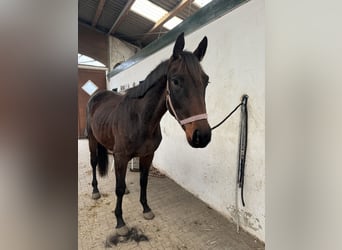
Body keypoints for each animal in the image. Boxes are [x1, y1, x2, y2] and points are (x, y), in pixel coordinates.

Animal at [86, 32, 211, 235]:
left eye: (206, 81)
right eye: (175, 81)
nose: (202, 136)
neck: (140, 119)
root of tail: (96, 97)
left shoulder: (147, 155)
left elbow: (143, 181)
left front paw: (146, 209)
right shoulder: (121, 156)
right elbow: (118, 188)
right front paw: (120, 221)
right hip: (91, 140)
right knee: (94, 162)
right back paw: (95, 191)